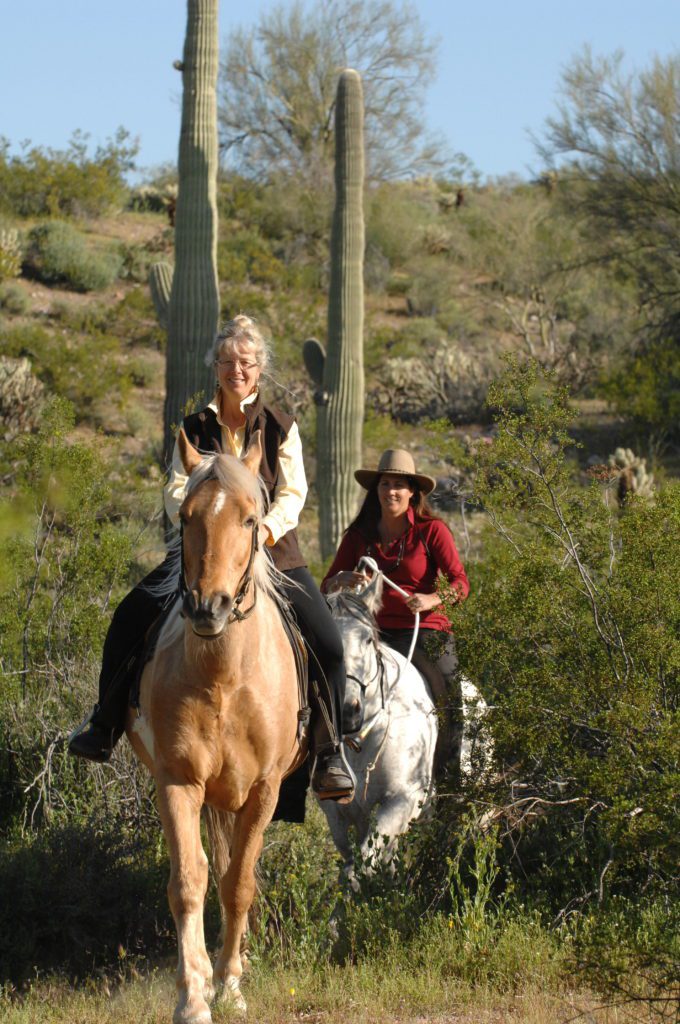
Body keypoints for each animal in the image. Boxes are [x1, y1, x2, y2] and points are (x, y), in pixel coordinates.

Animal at [125, 432, 305, 1024]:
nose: (209, 607)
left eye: (251, 519)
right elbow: (189, 881)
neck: (225, 676)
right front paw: (194, 995)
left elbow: (239, 884)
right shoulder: (178, 781)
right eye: (185, 516)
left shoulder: (266, 789)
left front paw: (230, 986)